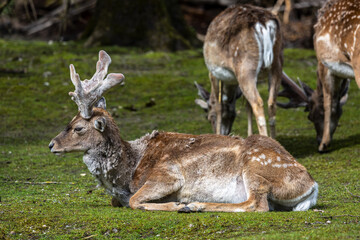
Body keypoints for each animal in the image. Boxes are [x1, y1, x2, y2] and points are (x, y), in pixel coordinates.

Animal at [48, 50, 318, 212]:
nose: (51, 144)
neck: (126, 173)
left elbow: (135, 201)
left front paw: (178, 205)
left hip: (256, 168)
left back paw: (196, 205)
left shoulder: (167, 175)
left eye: (78, 127)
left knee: (257, 204)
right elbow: (120, 202)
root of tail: (312, 186)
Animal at [195, 3, 282, 139]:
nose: (225, 133)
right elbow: (246, 105)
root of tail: (262, 23)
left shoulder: (213, 73)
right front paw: (249, 135)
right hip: (277, 63)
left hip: (245, 67)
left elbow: (219, 105)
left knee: (257, 102)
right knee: (271, 102)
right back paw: (273, 140)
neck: (231, 83)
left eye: (209, 118)